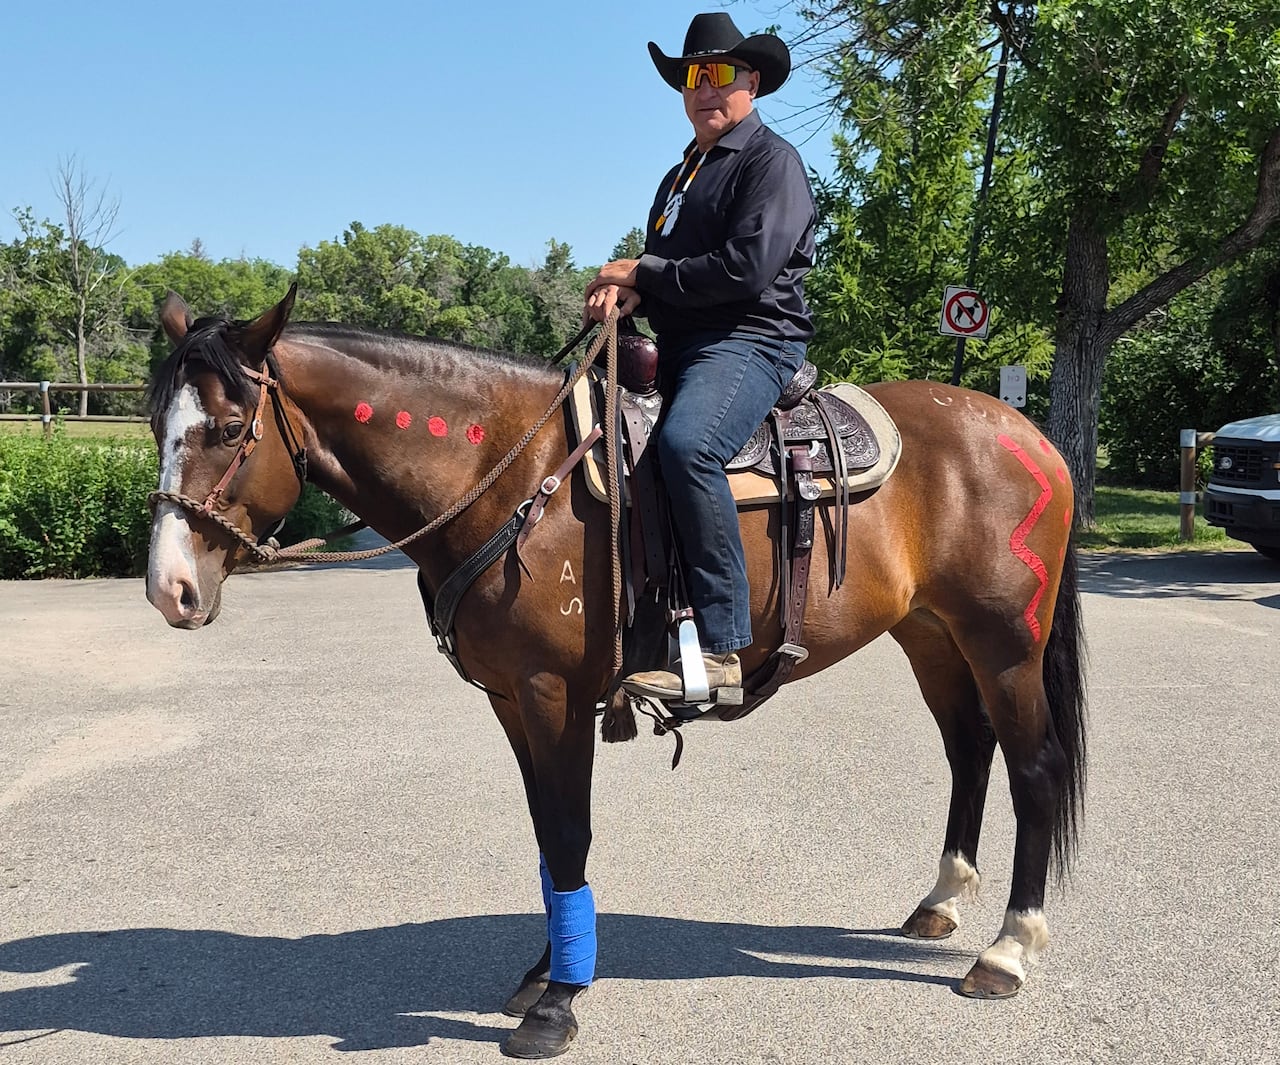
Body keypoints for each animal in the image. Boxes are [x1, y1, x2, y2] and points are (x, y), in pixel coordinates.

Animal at [144, 286, 1086, 1059]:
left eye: (226, 430)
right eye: (156, 425)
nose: (169, 588)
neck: (513, 477)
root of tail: (1027, 435)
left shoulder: (552, 693)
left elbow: (569, 833)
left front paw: (558, 1000)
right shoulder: (512, 701)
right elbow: (547, 835)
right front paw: (547, 967)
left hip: (1004, 638)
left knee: (1034, 767)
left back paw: (1008, 946)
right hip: (931, 632)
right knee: (969, 750)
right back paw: (943, 901)